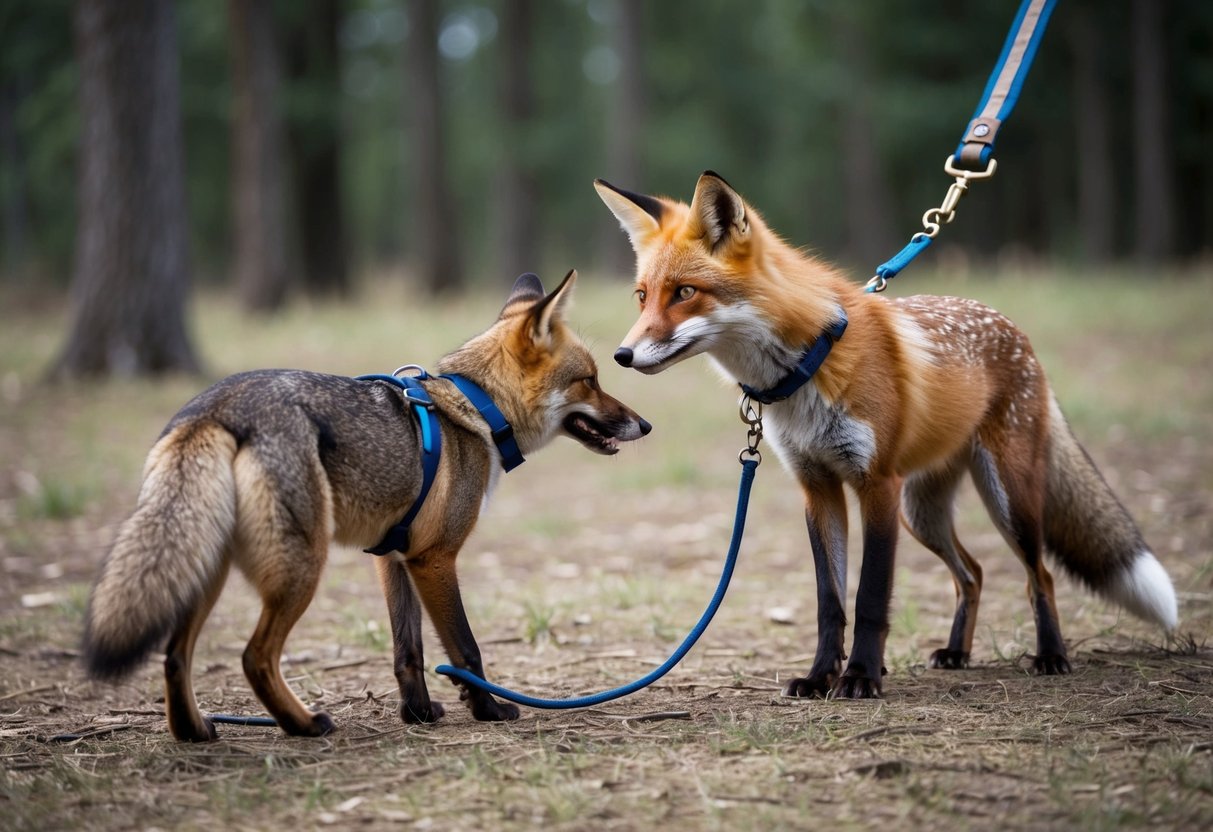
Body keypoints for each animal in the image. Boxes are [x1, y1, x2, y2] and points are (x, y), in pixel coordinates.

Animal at [81, 270, 651, 740]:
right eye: (590, 381)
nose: (644, 425)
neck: (476, 410)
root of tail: (217, 408)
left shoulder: (393, 558)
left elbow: (408, 652)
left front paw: (418, 715)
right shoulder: (435, 559)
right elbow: (466, 650)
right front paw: (488, 710)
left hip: (209, 569)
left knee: (174, 656)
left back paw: (194, 731)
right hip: (300, 569)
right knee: (254, 657)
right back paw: (304, 725)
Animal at [596, 171, 1178, 699]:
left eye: (685, 293)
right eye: (642, 296)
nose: (621, 355)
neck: (807, 366)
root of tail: (1016, 331)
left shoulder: (876, 484)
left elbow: (870, 597)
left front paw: (860, 677)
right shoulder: (818, 487)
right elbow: (830, 601)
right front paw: (819, 677)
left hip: (1005, 500)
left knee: (1041, 577)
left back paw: (1051, 656)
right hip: (922, 513)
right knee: (973, 573)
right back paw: (957, 652)